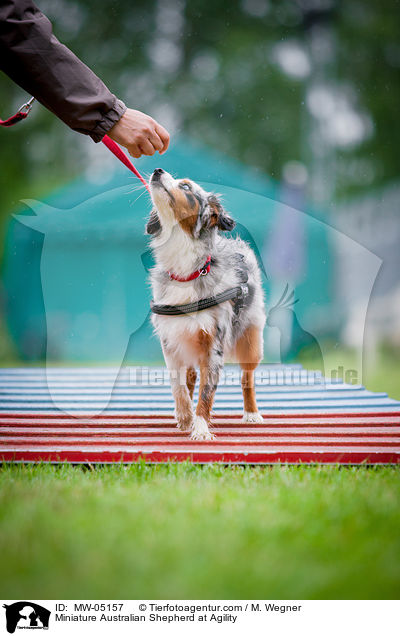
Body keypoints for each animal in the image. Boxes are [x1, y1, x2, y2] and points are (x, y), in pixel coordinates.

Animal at [147, 166, 266, 440]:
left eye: (186, 186)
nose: (157, 169)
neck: (187, 271)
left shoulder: (213, 346)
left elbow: (206, 393)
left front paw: (200, 427)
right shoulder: (171, 342)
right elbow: (178, 385)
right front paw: (184, 416)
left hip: (251, 341)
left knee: (248, 377)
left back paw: (252, 413)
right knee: (190, 376)